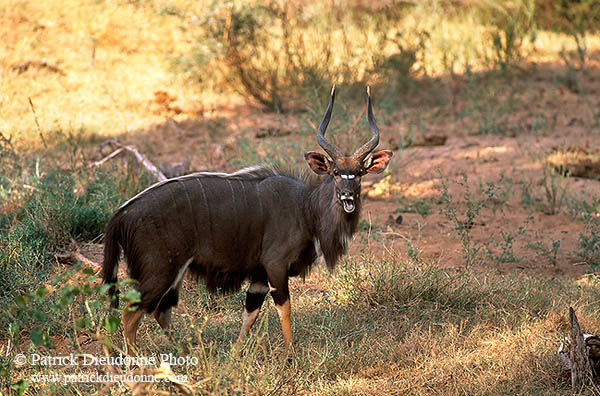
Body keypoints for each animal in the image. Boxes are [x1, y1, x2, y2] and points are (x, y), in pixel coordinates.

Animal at [103, 86, 394, 350]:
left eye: (359, 173)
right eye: (335, 172)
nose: (347, 196)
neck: (305, 207)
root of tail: (121, 214)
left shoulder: (259, 275)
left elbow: (250, 312)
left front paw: (236, 354)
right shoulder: (275, 265)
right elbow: (284, 308)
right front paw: (290, 356)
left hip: (173, 272)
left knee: (160, 310)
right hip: (159, 270)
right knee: (131, 314)